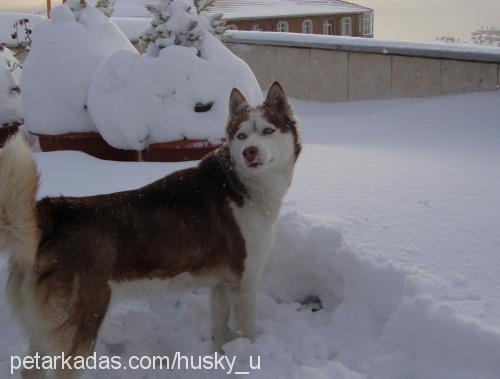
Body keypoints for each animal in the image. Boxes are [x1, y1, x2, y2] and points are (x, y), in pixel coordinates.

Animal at [0, 81, 300, 378]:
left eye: (268, 131)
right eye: (241, 135)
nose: (251, 151)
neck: (240, 182)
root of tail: (53, 214)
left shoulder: (220, 286)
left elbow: (217, 334)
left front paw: (218, 362)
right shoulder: (245, 284)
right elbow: (248, 334)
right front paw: (251, 357)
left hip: (42, 335)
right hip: (80, 333)